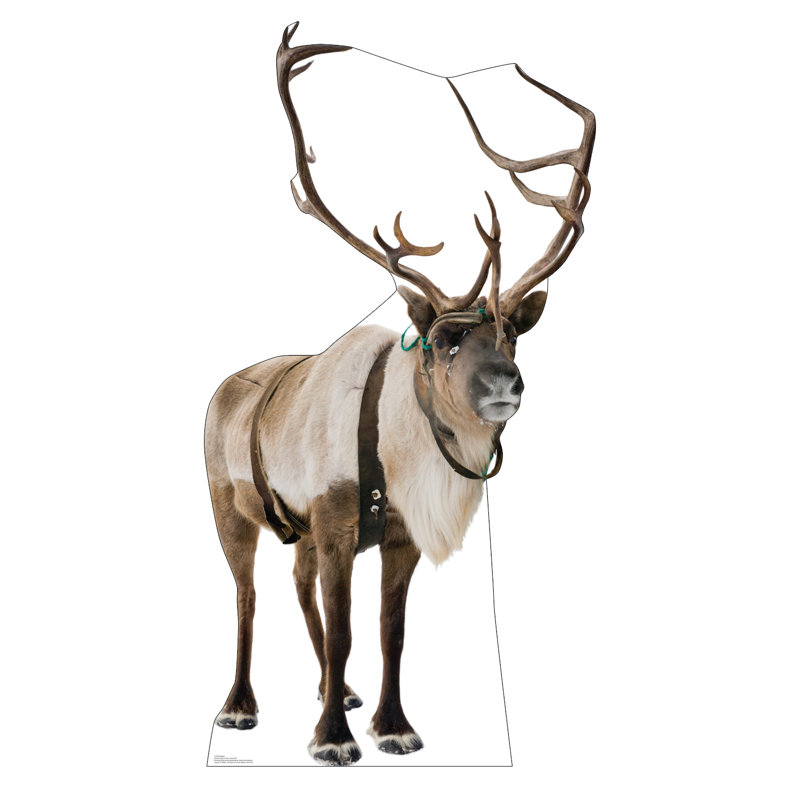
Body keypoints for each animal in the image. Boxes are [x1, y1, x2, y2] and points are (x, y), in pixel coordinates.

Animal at [206, 23, 595, 766]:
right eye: (442, 341)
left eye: (512, 335)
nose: (507, 384)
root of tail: (225, 385)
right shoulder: (334, 525)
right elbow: (346, 628)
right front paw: (332, 740)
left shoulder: (398, 537)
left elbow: (391, 632)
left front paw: (391, 726)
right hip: (229, 508)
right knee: (245, 596)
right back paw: (241, 707)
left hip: (298, 530)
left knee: (296, 589)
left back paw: (340, 691)